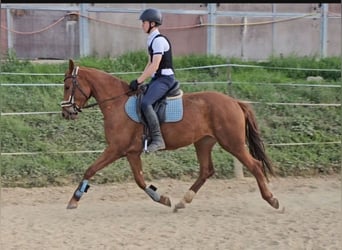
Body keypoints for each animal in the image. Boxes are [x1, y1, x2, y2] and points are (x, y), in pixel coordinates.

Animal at [62, 59, 280, 212]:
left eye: (67, 87)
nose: (65, 112)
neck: (117, 103)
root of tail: (234, 102)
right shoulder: (131, 153)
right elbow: (140, 180)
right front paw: (163, 199)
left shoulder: (116, 149)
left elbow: (90, 169)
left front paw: (74, 199)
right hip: (203, 143)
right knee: (206, 171)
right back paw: (183, 202)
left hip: (232, 143)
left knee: (255, 166)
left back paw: (272, 200)